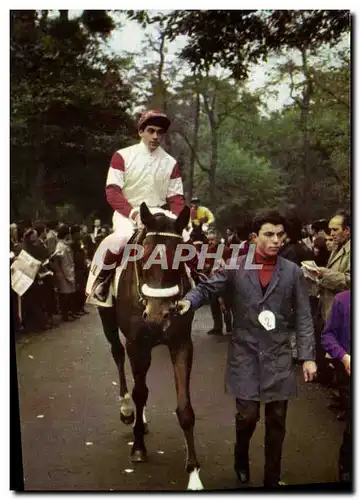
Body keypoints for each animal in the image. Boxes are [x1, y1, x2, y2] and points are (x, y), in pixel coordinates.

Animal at [95, 202, 204, 488]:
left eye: (181, 258)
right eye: (142, 258)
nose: (157, 317)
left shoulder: (181, 343)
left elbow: (184, 406)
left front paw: (194, 473)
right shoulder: (137, 344)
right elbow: (140, 393)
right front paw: (138, 448)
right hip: (108, 321)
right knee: (118, 356)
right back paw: (127, 411)